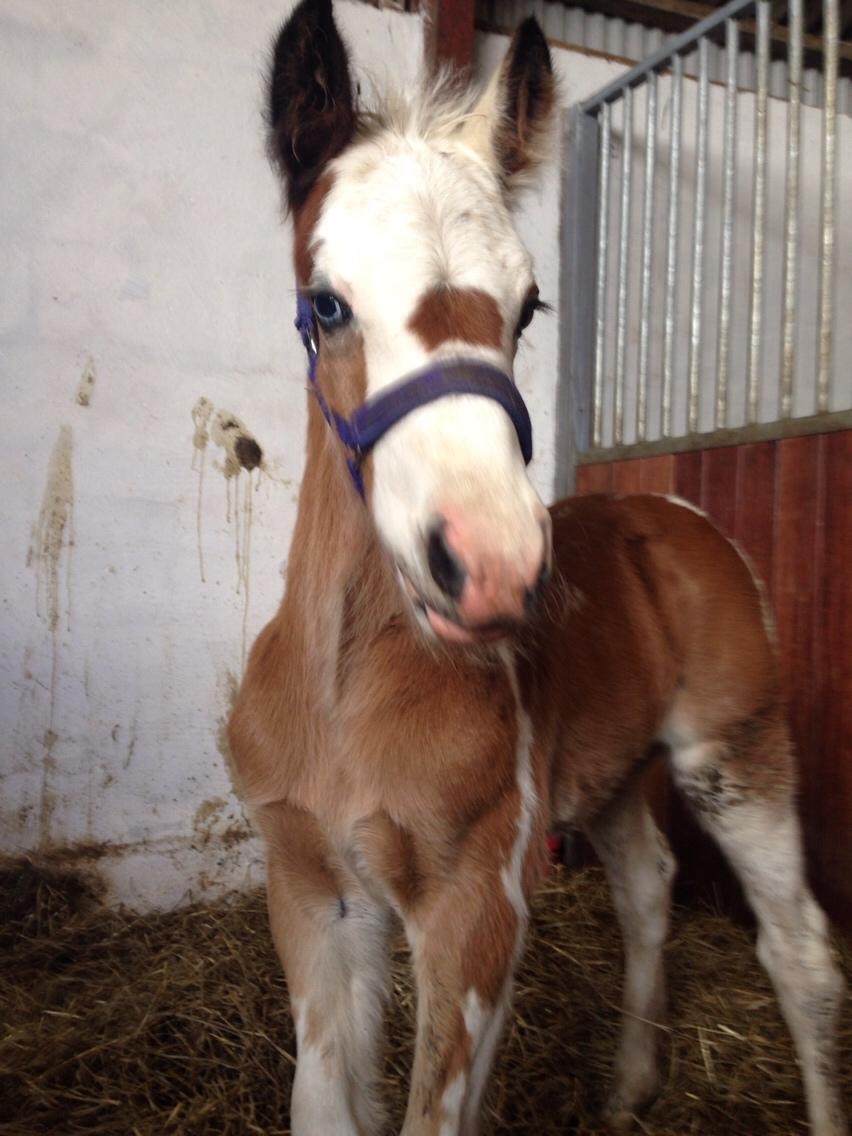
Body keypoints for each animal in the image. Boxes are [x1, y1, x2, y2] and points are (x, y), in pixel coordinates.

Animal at [230, 4, 849, 1131]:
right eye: (326, 303)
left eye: (528, 307)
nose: (493, 564)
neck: (344, 688)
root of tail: (679, 515)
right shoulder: (311, 894)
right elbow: (327, 1103)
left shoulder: (478, 904)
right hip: (613, 776)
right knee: (648, 885)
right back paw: (629, 1087)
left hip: (738, 755)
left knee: (800, 952)